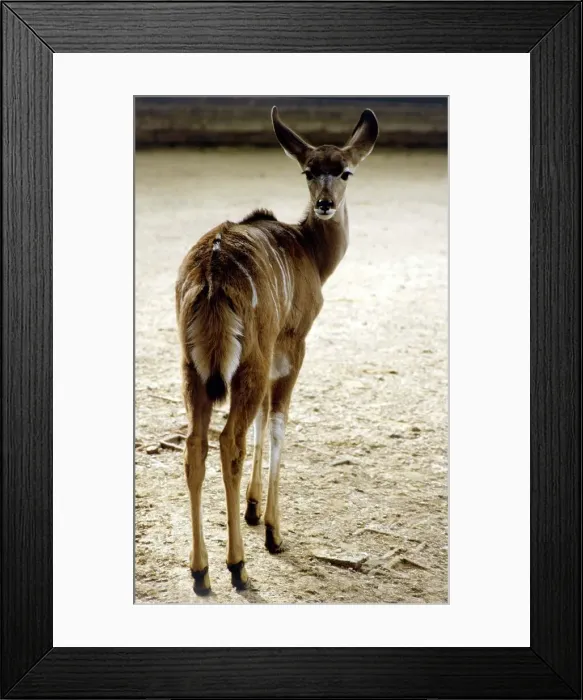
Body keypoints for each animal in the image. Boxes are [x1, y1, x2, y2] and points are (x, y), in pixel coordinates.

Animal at [176, 106, 379, 595]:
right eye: (309, 171)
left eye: (344, 171)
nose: (325, 204)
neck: (308, 251)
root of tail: (211, 277)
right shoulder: (292, 345)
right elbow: (279, 424)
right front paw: (271, 530)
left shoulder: (268, 359)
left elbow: (263, 421)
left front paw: (251, 510)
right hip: (248, 362)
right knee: (228, 439)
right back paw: (237, 567)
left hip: (192, 368)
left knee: (195, 445)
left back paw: (200, 570)